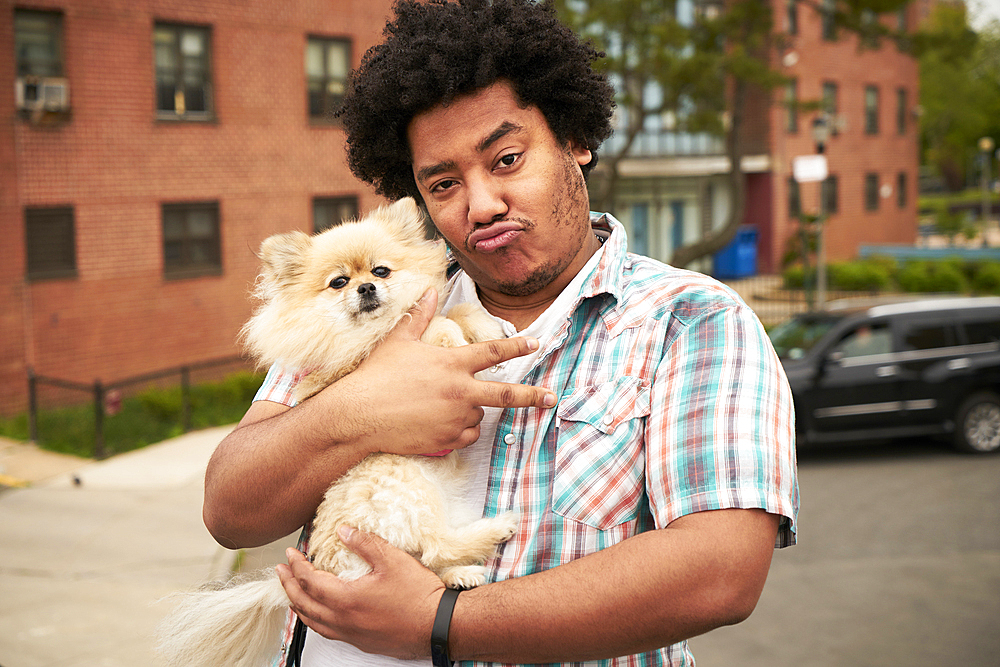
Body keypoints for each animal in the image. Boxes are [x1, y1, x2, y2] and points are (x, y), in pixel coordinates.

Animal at [158, 198, 516, 667]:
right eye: (339, 282)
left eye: (381, 271)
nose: (365, 289)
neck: (370, 330)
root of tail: (327, 568)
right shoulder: (349, 370)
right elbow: (438, 327)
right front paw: (453, 339)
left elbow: (449, 310)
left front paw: (483, 325)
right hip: (403, 481)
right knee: (435, 544)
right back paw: (498, 529)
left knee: (427, 557)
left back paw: (462, 575)